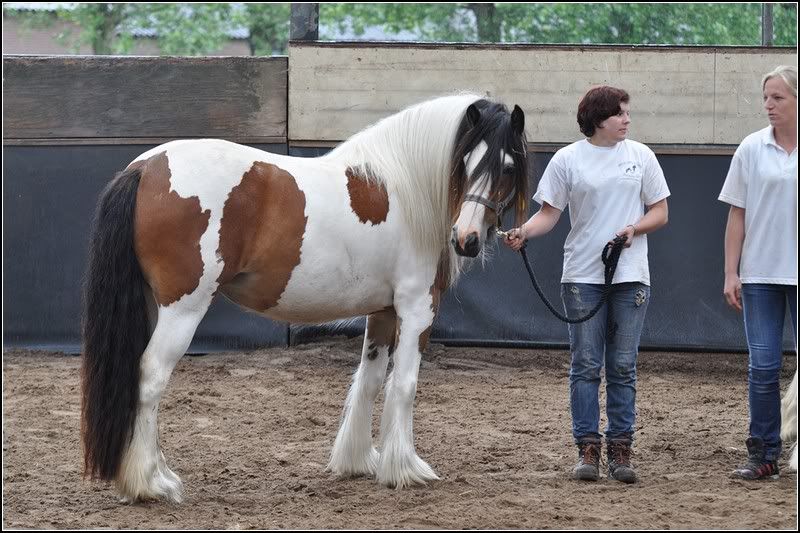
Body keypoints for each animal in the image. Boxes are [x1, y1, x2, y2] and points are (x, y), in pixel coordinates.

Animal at [80, 93, 529, 503]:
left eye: (507, 168)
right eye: (466, 164)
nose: (466, 239)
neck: (408, 186)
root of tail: (144, 168)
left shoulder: (383, 311)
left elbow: (369, 380)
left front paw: (358, 461)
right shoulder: (418, 307)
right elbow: (404, 384)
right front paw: (404, 468)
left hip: (151, 306)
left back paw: (152, 474)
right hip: (183, 309)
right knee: (150, 378)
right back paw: (151, 483)